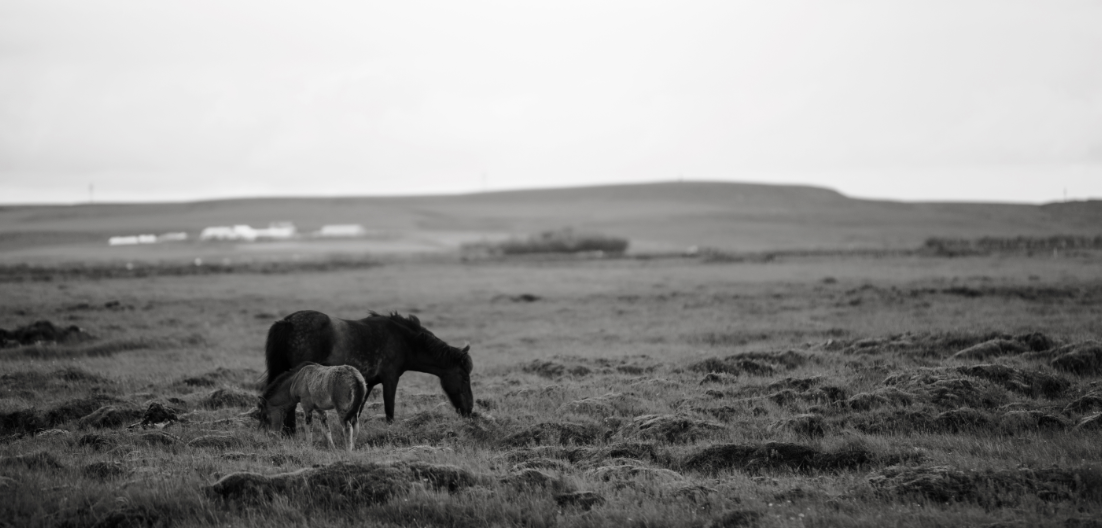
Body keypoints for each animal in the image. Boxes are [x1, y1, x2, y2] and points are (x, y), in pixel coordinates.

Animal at [265, 313, 473, 436]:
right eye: (464, 376)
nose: (469, 410)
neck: (404, 340)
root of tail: (288, 322)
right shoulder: (390, 379)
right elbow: (389, 410)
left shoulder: (368, 383)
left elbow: (357, 411)